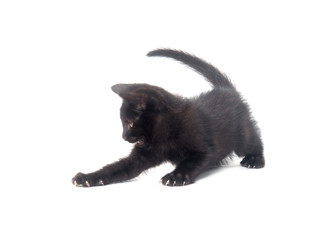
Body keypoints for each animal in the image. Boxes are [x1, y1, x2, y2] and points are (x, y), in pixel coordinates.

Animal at [72, 48, 264, 188]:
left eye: (130, 123)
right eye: (123, 124)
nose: (124, 137)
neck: (166, 133)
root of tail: (226, 89)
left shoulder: (204, 148)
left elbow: (191, 161)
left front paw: (176, 176)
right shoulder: (140, 156)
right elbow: (116, 168)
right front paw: (87, 177)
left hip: (242, 133)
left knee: (254, 140)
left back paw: (254, 160)